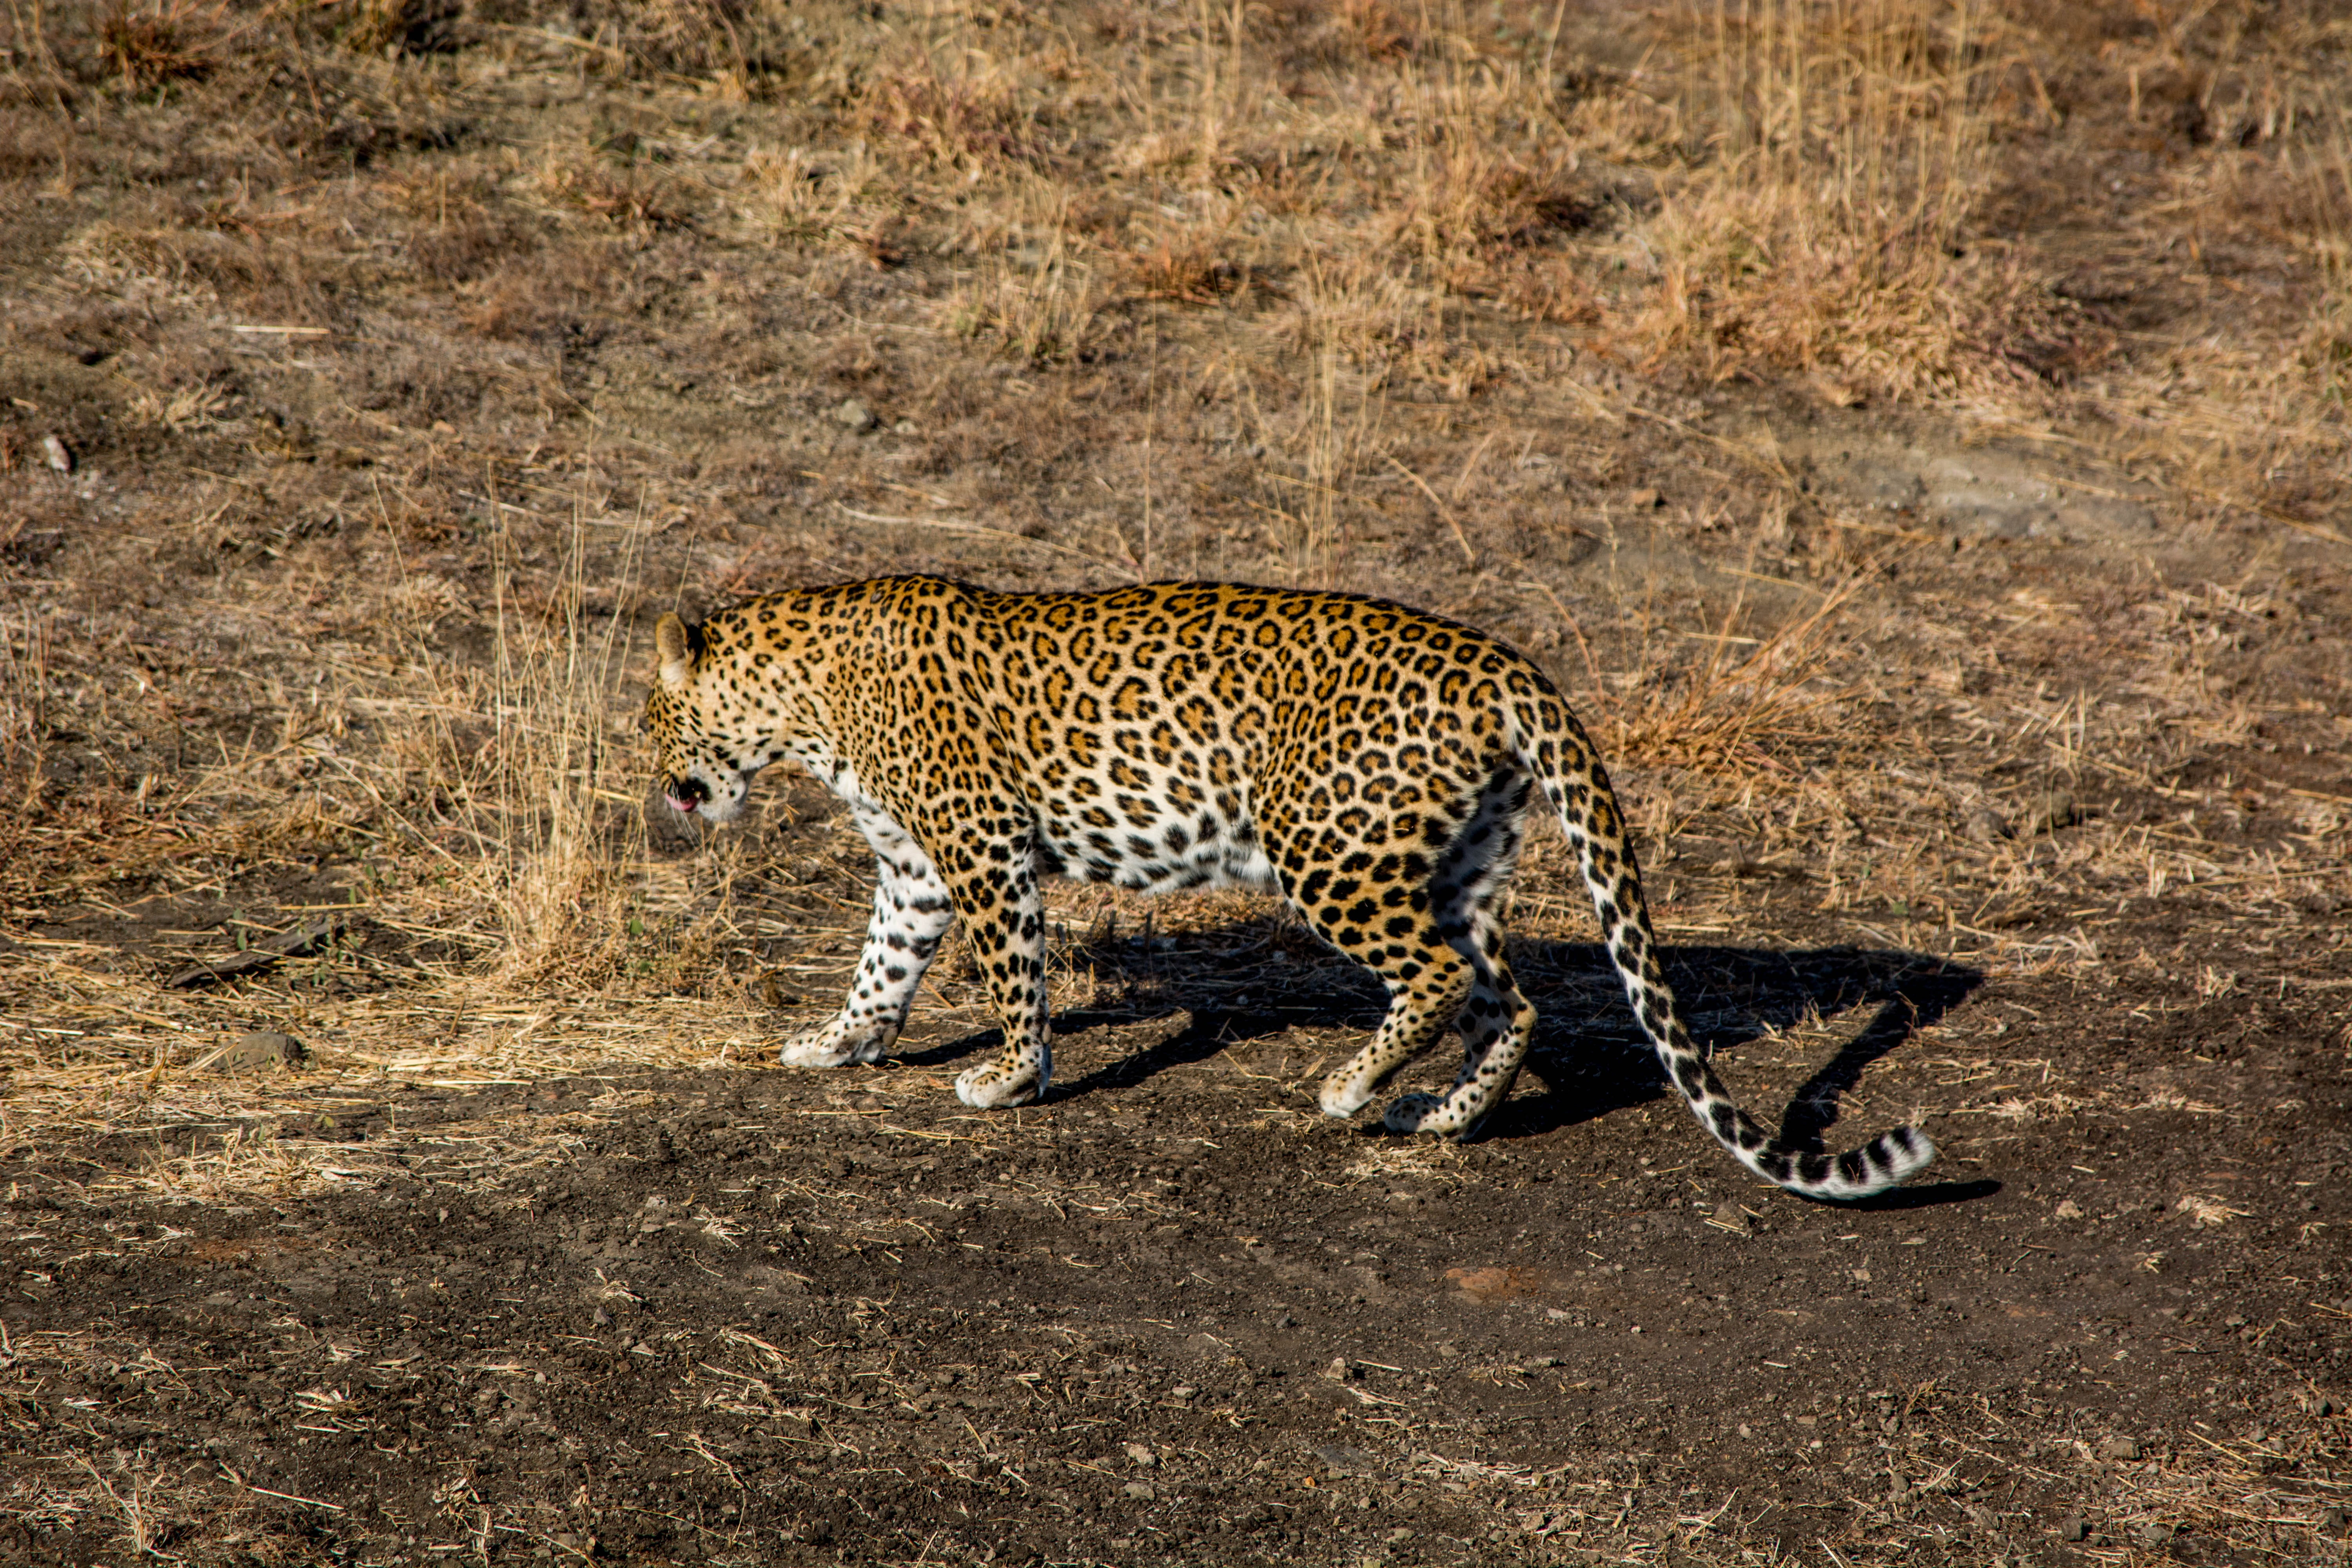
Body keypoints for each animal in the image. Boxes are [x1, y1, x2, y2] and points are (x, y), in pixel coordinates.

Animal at [645, 574, 1935, 1200]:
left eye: (653, 717)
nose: (663, 790)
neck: (802, 705)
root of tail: (1509, 663)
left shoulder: (978, 841)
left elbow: (1009, 970)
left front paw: (1009, 1077)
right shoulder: (915, 862)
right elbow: (883, 961)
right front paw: (835, 1043)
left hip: (1329, 847)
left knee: (1433, 978)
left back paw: (1350, 1085)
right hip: (1457, 858)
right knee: (1506, 997)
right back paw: (1440, 1116)